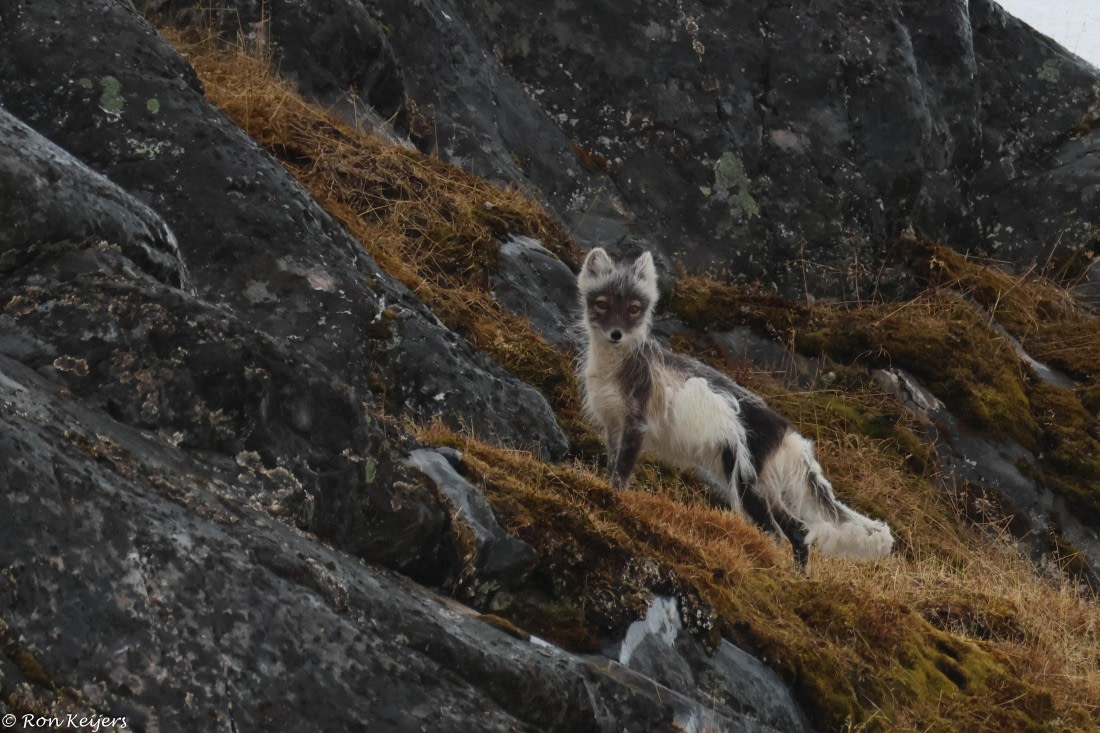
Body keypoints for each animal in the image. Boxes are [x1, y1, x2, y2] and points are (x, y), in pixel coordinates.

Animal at [577, 247, 893, 569]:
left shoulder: (636, 423)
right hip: (760, 485)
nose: (616, 334)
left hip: (745, 484)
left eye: (634, 308)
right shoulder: (612, 424)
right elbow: (612, 463)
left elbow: (621, 472)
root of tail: (787, 429)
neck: (616, 368)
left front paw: (614, 499)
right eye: (602, 304)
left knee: (775, 533)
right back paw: (796, 576)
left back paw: (770, 568)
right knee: (799, 530)